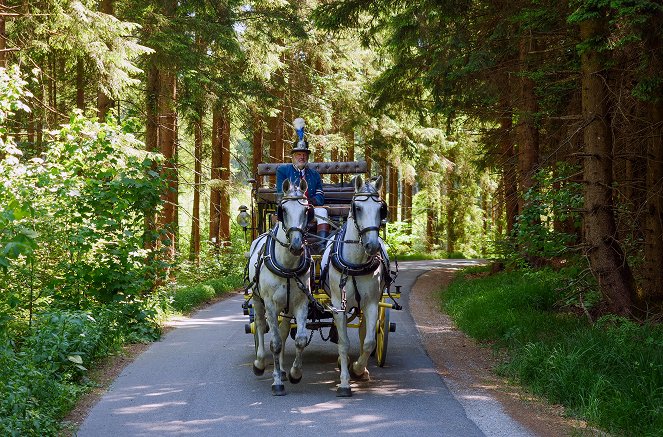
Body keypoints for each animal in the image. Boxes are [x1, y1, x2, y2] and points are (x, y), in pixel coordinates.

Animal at [248, 178, 316, 396]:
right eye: (282, 210)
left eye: (307, 210)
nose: (296, 246)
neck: (288, 265)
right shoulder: (270, 303)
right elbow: (275, 343)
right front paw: (277, 381)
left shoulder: (301, 302)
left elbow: (300, 339)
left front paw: (295, 373)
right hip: (257, 299)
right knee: (260, 325)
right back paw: (260, 363)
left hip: (286, 307)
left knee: (284, 330)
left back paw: (284, 370)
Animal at [322, 174, 390, 396]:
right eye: (357, 208)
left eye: (381, 208)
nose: (372, 245)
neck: (355, 262)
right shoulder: (338, 304)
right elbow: (344, 343)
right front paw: (344, 381)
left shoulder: (371, 303)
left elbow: (368, 341)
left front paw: (358, 369)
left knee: (363, 332)